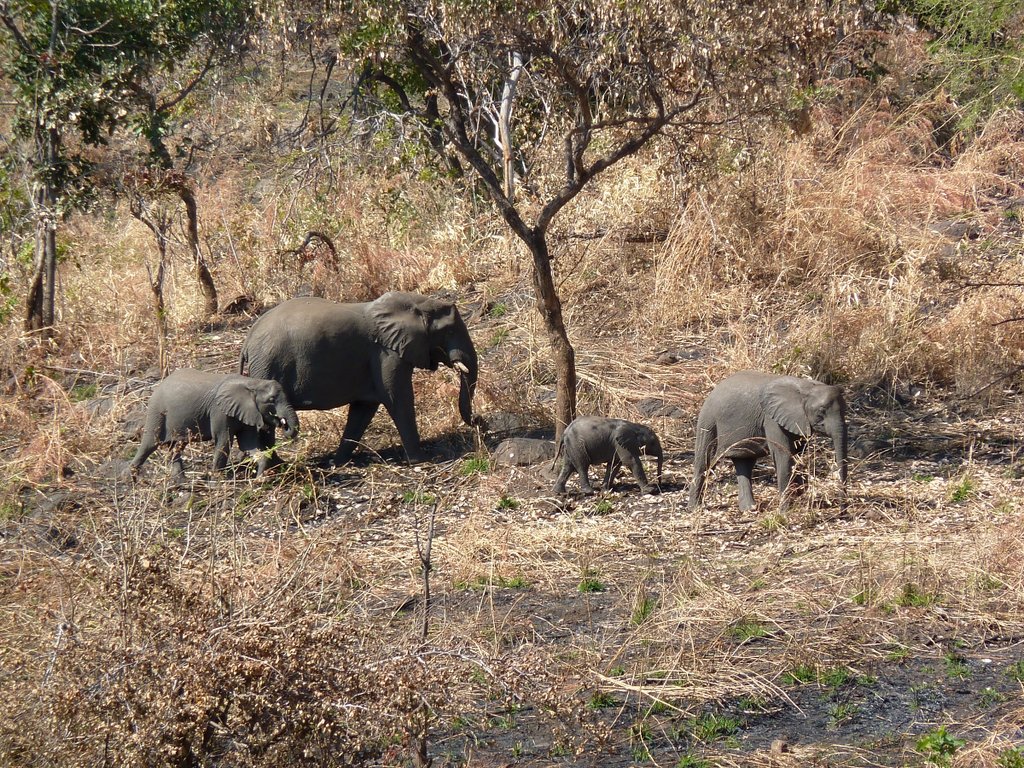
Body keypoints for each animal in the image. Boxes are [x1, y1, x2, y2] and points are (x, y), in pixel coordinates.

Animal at [130, 369, 299, 478]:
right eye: (271, 400)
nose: (282, 423)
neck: (252, 382)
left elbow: (248, 444)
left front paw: (261, 478)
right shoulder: (219, 412)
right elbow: (223, 441)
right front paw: (217, 482)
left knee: (177, 447)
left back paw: (181, 483)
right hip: (157, 412)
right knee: (150, 444)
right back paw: (132, 478)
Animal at [239, 291, 479, 464]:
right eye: (449, 331)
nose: (479, 421)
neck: (415, 302)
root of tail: (247, 340)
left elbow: (364, 408)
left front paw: (338, 463)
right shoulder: (386, 354)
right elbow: (397, 398)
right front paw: (422, 461)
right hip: (267, 366)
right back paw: (276, 467)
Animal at [688, 370, 848, 511]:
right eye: (821, 413)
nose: (842, 512)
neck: (806, 387)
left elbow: (797, 454)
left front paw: (799, 494)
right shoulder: (771, 419)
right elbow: (784, 455)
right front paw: (785, 511)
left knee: (744, 462)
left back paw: (749, 509)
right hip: (708, 422)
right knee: (705, 460)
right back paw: (695, 508)